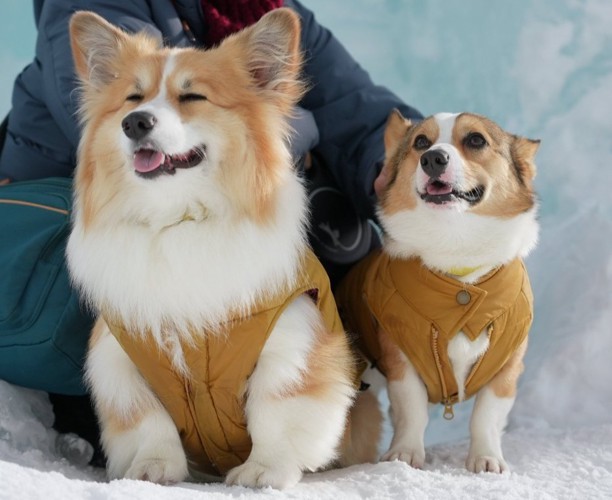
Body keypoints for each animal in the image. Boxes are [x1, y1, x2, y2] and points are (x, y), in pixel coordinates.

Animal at [65, 9, 358, 490]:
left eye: (193, 96)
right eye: (133, 98)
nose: (135, 122)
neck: (178, 219)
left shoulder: (292, 340)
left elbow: (275, 409)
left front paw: (264, 471)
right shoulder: (121, 353)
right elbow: (148, 419)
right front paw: (154, 468)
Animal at [334, 111, 540, 474]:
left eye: (476, 140)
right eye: (420, 142)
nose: (432, 158)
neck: (456, 250)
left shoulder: (507, 364)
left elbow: (486, 417)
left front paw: (486, 459)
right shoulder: (402, 361)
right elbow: (411, 412)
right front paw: (403, 455)